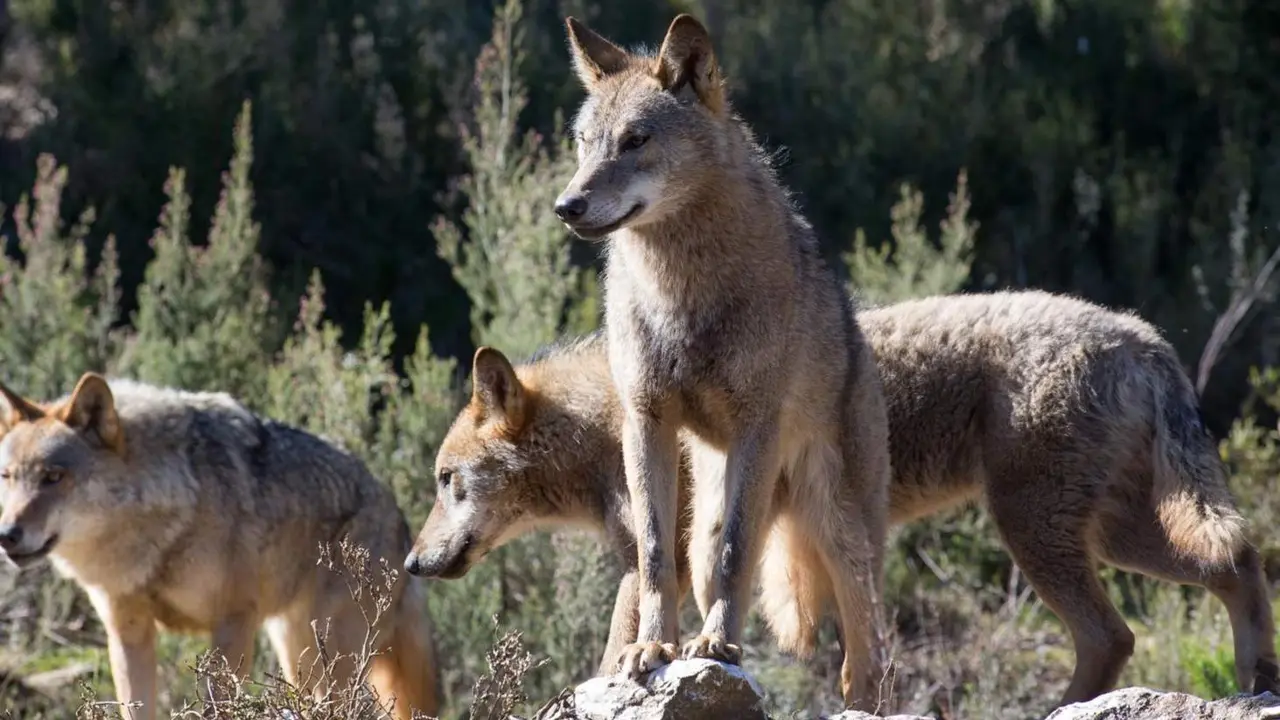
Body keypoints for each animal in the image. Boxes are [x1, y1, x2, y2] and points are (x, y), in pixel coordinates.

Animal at [0, 373, 439, 720]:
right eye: (7, 476)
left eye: (53, 476)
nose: (7, 534)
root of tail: (400, 519)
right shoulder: (128, 633)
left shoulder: (234, 622)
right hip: (298, 655)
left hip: (332, 662)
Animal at [406, 290, 1277, 711]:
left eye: (447, 482)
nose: (411, 563)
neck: (608, 421)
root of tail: (1143, 335)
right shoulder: (657, 564)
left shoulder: (659, 564)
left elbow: (617, 651)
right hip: (1114, 536)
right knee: (1234, 564)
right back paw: (1255, 678)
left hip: (1041, 533)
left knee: (1116, 630)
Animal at [552, 14, 892, 708]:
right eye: (584, 142)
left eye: (636, 140)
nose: (566, 207)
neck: (681, 292)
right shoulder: (645, 422)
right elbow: (655, 557)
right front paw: (651, 649)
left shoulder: (757, 423)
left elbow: (740, 553)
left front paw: (714, 647)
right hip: (711, 518)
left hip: (841, 534)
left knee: (865, 660)